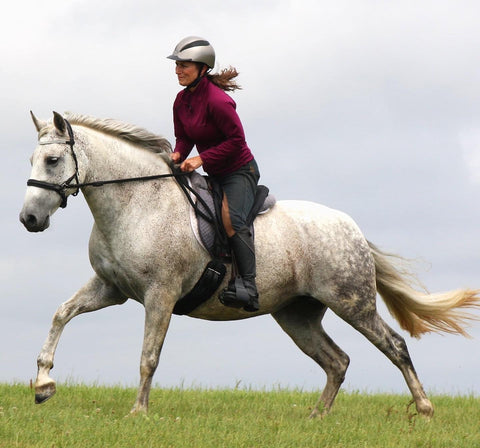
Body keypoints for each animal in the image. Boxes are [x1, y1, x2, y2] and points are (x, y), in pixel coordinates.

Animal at [19, 111, 480, 416]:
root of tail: (350, 228)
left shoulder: (159, 295)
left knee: (395, 345)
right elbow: (61, 314)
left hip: (353, 302)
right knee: (338, 361)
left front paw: (138, 413)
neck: (137, 204)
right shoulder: (111, 288)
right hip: (296, 314)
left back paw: (424, 409)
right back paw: (316, 418)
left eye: (53, 161)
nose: (29, 219)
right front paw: (43, 384)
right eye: (32, 161)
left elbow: (148, 356)